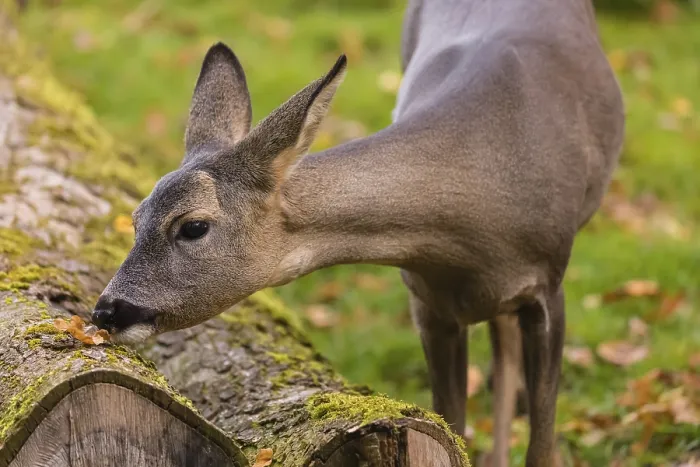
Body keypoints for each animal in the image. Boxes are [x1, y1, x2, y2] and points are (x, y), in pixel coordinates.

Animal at [91, 0, 624, 465]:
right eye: (136, 218)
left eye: (193, 226)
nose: (106, 310)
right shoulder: (427, 302)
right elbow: (451, 423)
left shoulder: (549, 284)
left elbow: (542, 443)